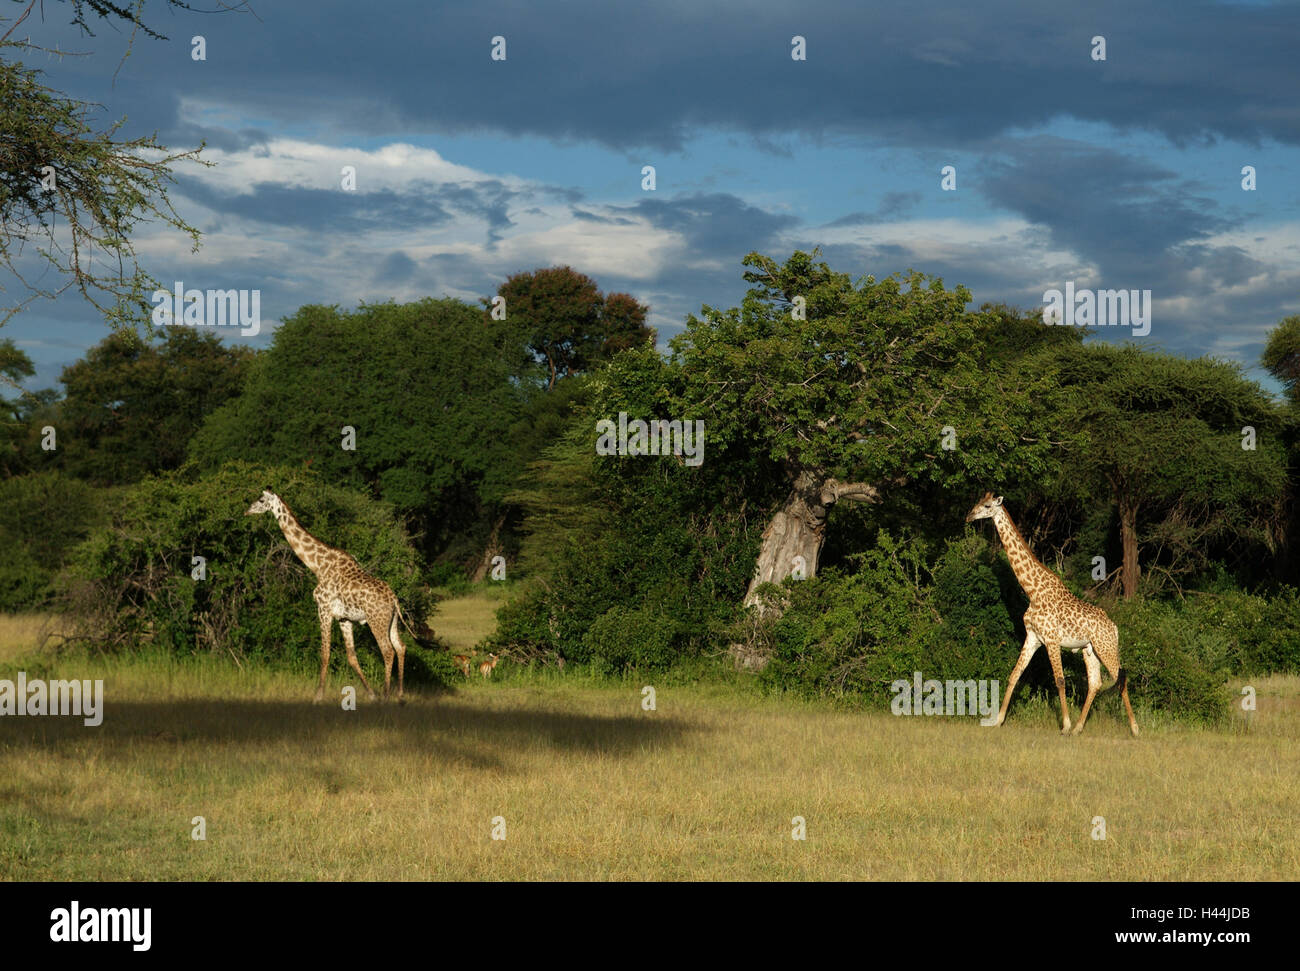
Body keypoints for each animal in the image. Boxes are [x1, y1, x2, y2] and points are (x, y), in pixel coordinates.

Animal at [244, 488, 405, 701]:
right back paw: (400, 694)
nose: (247, 510)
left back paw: (387, 694)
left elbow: (325, 653)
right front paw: (371, 694)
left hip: (376, 620)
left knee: (388, 651)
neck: (317, 566)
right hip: (391, 621)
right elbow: (351, 657)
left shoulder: (324, 609)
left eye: (261, 500)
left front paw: (318, 695)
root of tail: (394, 600)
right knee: (400, 647)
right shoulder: (344, 618)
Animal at [967, 493, 1138, 738]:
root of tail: (1114, 627)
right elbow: (1014, 675)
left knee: (1120, 679)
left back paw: (1134, 729)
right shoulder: (1033, 637)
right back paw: (1079, 728)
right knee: (1095, 683)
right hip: (1090, 649)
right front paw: (998, 720)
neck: (1033, 591)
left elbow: (1059, 680)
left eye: (987, 506)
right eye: (978, 502)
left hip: (1106, 647)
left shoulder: (1051, 639)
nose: (969, 516)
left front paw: (1064, 725)